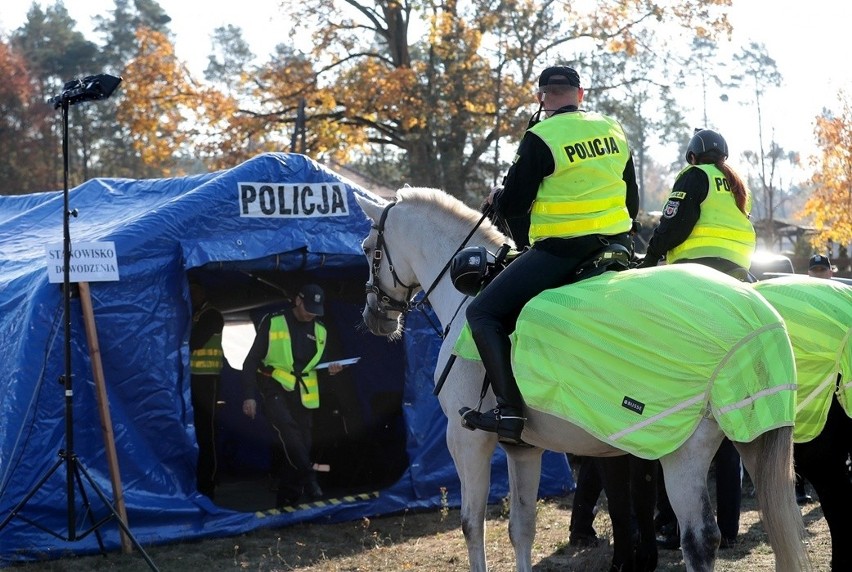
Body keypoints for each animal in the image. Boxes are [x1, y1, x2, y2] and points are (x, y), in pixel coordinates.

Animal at [354, 189, 812, 572]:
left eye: (368, 250)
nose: (373, 316)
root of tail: (756, 314)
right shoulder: (523, 448)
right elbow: (521, 528)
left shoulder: (467, 439)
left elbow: (472, 525)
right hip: (751, 435)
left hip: (681, 452)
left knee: (699, 540)